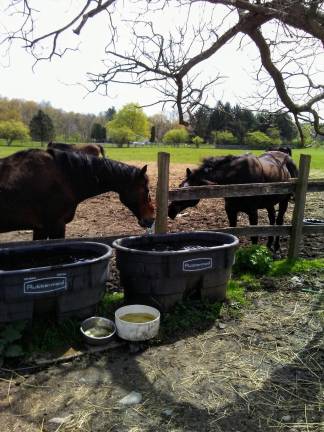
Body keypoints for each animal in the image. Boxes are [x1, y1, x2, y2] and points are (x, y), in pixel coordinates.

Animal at [170, 152, 298, 253]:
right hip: (269, 203)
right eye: (179, 186)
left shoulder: (253, 212)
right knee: (272, 220)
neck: (236, 179)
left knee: (279, 221)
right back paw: (268, 245)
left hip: (284, 201)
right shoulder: (231, 211)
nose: (170, 210)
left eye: (188, 191)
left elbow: (254, 236)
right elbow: (233, 234)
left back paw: (276, 247)